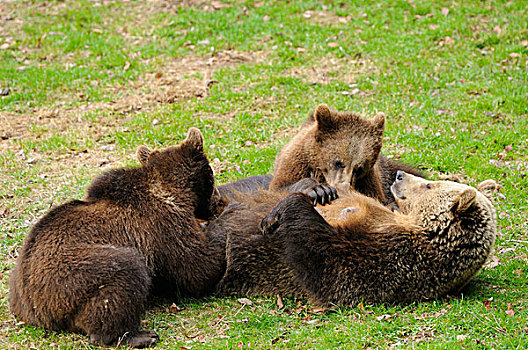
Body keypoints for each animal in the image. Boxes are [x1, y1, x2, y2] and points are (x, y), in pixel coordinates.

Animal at [8, 128, 227, 348]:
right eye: (213, 177)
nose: (221, 202)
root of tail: (37, 310)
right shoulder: (162, 225)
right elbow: (197, 266)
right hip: (72, 273)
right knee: (124, 273)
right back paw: (138, 335)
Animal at [213, 173, 496, 306]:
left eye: (429, 185)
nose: (400, 175)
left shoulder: (384, 259)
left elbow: (323, 264)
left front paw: (277, 214)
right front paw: (314, 191)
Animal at [270, 105, 422, 206]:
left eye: (360, 168)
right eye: (338, 162)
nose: (342, 187)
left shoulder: (369, 180)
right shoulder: (296, 162)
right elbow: (281, 187)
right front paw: (320, 190)